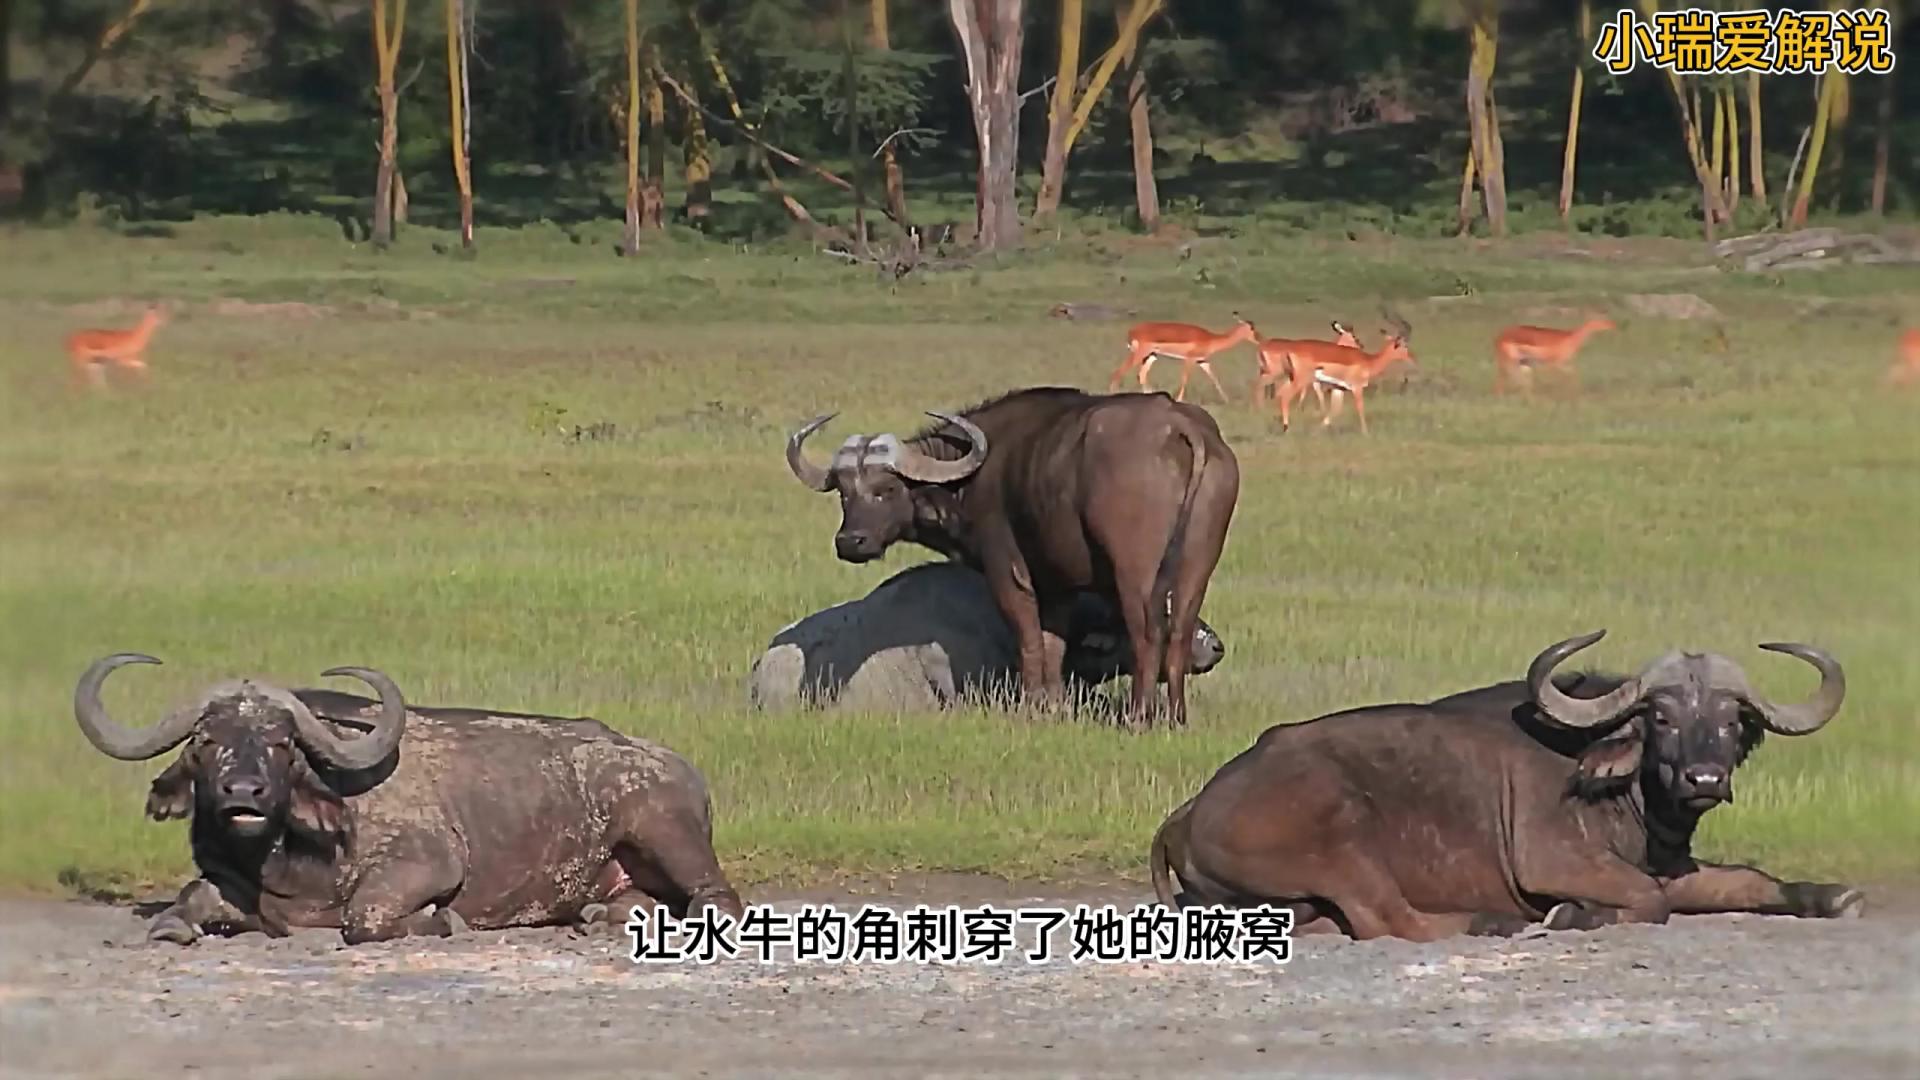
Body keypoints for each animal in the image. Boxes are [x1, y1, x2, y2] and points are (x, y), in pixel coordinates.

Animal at [71, 645, 741, 941]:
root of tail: (674, 762)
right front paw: (176, 926)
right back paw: (600, 917)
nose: (244, 792)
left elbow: (364, 917)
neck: (290, 860)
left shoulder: (429, 862)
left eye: (283, 742)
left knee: (719, 897)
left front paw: (441, 920)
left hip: (662, 829)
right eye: (207, 741)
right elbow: (189, 899)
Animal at [1152, 626, 1858, 937]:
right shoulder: (1552, 859)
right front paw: (1574, 913)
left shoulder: (1672, 863)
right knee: (1386, 918)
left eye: (1731, 721)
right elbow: (1647, 901)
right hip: (1341, 833)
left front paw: (1828, 896)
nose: (1703, 777)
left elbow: (1748, 879)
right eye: (1660, 717)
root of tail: (1190, 810)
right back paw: (1491, 921)